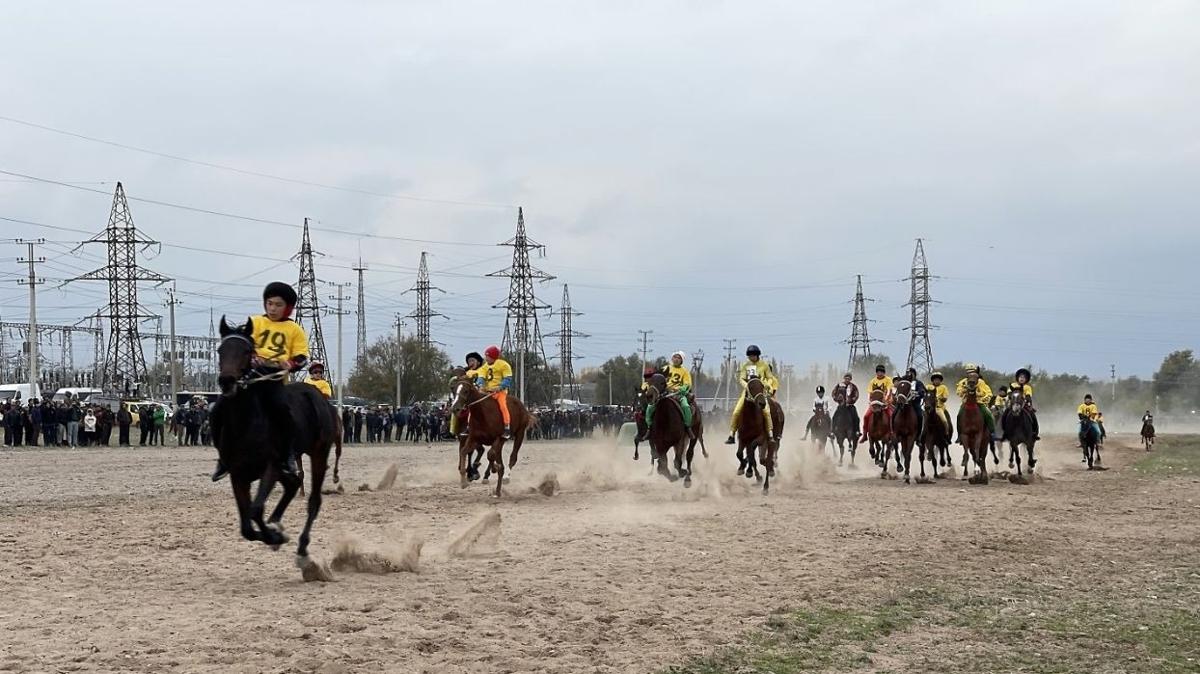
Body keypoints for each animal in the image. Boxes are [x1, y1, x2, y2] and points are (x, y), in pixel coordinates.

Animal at [214, 316, 336, 558]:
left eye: (247, 351)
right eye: (220, 350)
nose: (227, 381)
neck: (246, 424)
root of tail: (318, 396)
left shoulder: (271, 467)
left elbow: (255, 510)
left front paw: (275, 536)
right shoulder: (238, 475)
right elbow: (247, 526)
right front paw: (273, 534)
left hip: (319, 453)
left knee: (314, 500)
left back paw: (302, 546)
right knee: (294, 483)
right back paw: (277, 523)